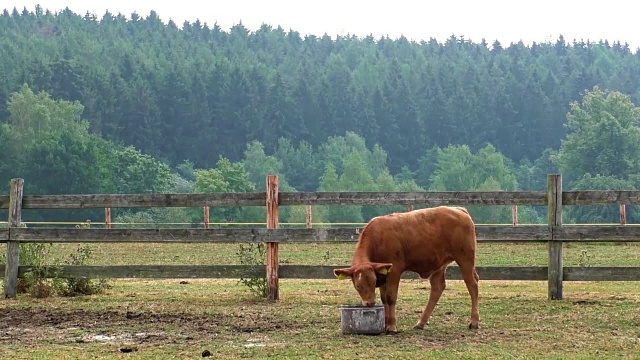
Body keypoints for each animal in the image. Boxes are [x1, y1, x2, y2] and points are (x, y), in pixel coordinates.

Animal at [336, 207, 480, 334]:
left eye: (373, 282)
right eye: (358, 286)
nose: (370, 303)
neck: (378, 239)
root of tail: (459, 210)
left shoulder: (394, 271)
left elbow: (390, 297)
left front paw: (392, 326)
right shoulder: (383, 274)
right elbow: (384, 299)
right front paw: (385, 323)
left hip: (465, 259)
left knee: (472, 285)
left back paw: (474, 321)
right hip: (439, 265)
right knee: (437, 287)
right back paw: (421, 323)